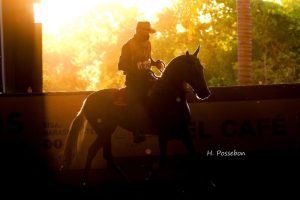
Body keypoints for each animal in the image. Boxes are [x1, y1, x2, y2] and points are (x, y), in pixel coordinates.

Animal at [61, 48, 210, 183]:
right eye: (191, 70)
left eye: (201, 68)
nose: (205, 93)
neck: (169, 96)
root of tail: (87, 100)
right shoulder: (163, 134)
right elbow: (162, 161)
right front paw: (149, 179)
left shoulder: (184, 131)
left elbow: (194, 155)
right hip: (105, 131)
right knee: (102, 153)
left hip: (106, 131)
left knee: (97, 152)